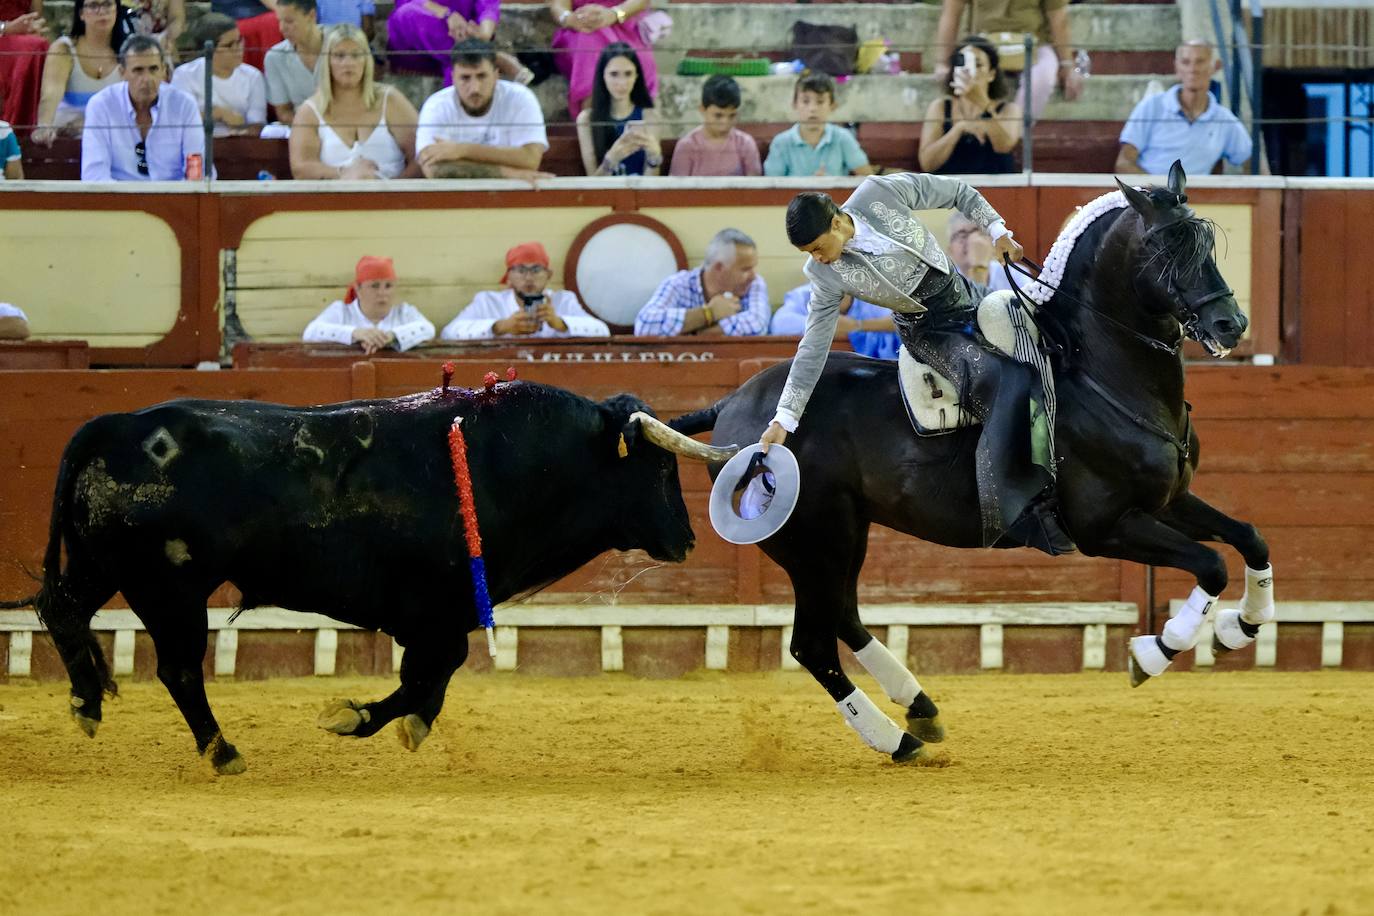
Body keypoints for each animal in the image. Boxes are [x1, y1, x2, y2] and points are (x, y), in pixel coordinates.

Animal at [5, 379, 736, 774]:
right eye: (659, 468)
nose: (687, 540)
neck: (508, 460)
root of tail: (113, 426)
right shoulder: (436, 610)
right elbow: (431, 676)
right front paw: (354, 718)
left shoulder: (438, 614)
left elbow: (430, 680)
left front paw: (384, 722)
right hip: (169, 585)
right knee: (179, 668)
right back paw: (222, 751)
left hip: (103, 564)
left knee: (67, 612)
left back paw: (88, 705)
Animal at [665, 164, 1275, 769]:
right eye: (1165, 248)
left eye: (1204, 242)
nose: (1230, 323)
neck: (1096, 373)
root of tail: (736, 408)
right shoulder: (1105, 527)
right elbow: (1210, 565)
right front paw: (1156, 651)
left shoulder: (1168, 501)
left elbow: (1249, 537)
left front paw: (1240, 627)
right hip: (813, 541)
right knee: (811, 643)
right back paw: (898, 739)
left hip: (843, 535)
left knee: (844, 617)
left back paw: (921, 709)